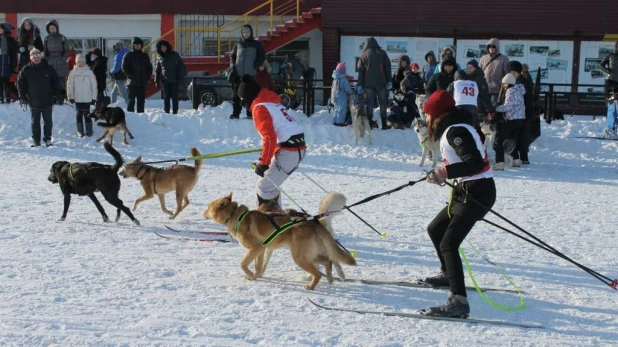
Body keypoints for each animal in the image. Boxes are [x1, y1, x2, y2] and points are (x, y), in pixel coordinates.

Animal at [203, 192, 356, 290]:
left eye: (208, 207)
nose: (202, 213)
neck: (235, 215)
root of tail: (314, 223)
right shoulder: (262, 250)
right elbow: (259, 266)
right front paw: (255, 276)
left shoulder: (256, 248)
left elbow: (243, 263)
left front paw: (250, 275)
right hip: (309, 255)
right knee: (328, 261)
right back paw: (330, 278)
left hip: (299, 257)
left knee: (319, 272)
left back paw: (311, 286)